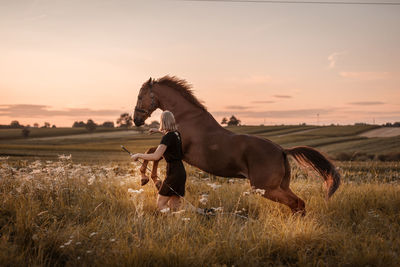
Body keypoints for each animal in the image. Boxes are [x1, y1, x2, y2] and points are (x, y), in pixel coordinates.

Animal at [133, 75, 340, 216]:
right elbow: (152, 153)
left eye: (140, 96)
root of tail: (282, 150)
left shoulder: (179, 151)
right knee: (298, 204)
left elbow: (152, 152)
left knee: (296, 203)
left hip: (266, 188)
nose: (136, 120)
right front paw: (151, 179)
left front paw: (147, 178)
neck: (184, 117)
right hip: (279, 186)